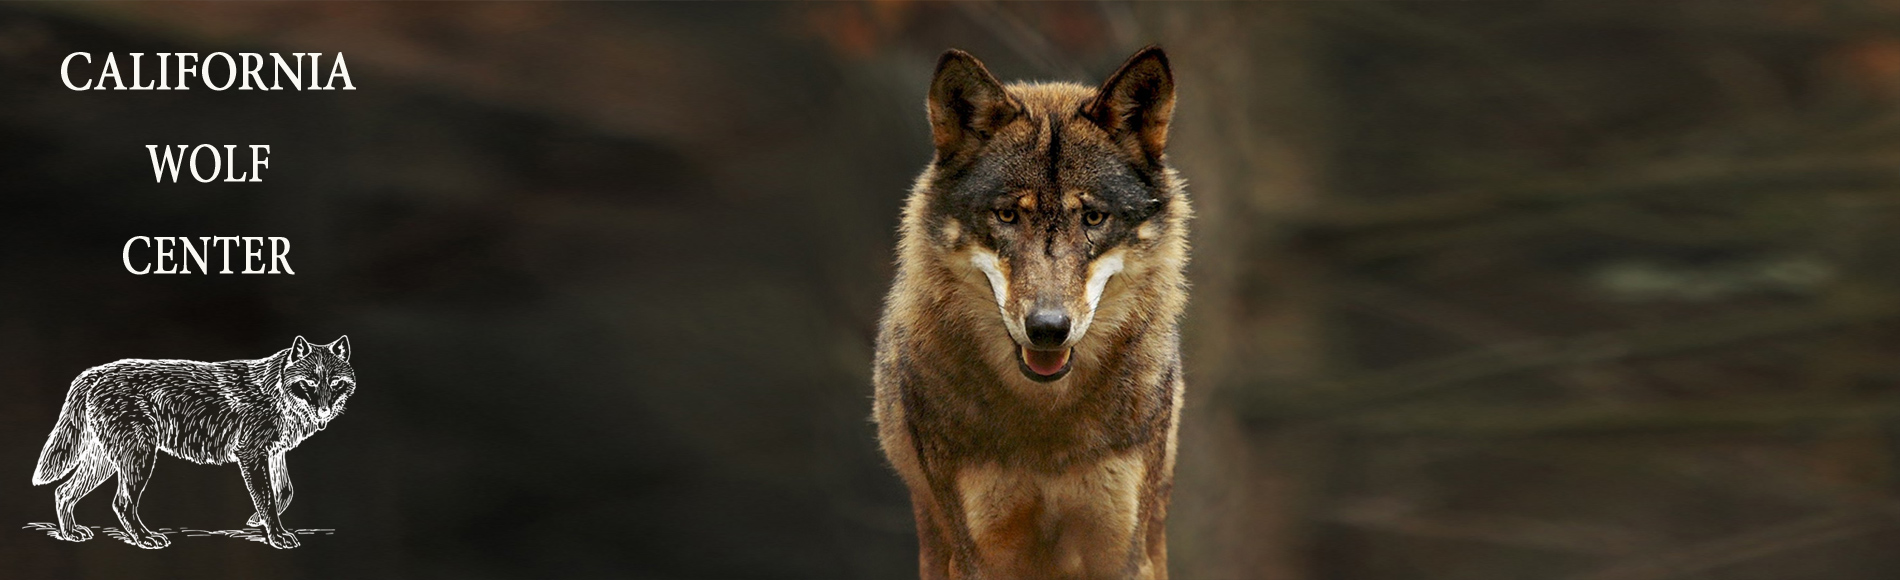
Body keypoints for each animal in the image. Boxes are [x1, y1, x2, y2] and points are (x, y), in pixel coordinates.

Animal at [31, 336, 355, 549]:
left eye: (335, 383)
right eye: (309, 383)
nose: (324, 411)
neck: (276, 392)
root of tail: (97, 371)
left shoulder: (274, 455)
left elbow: (284, 491)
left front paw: (256, 522)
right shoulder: (251, 455)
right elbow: (267, 499)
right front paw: (276, 536)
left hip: (105, 462)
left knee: (63, 492)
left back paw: (71, 534)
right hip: (138, 459)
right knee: (121, 502)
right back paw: (145, 539)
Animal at [873, 46, 1190, 580]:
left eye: (1093, 217)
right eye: (1007, 215)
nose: (1047, 329)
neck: (1047, 427)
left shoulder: (1121, 552)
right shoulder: (979, 554)